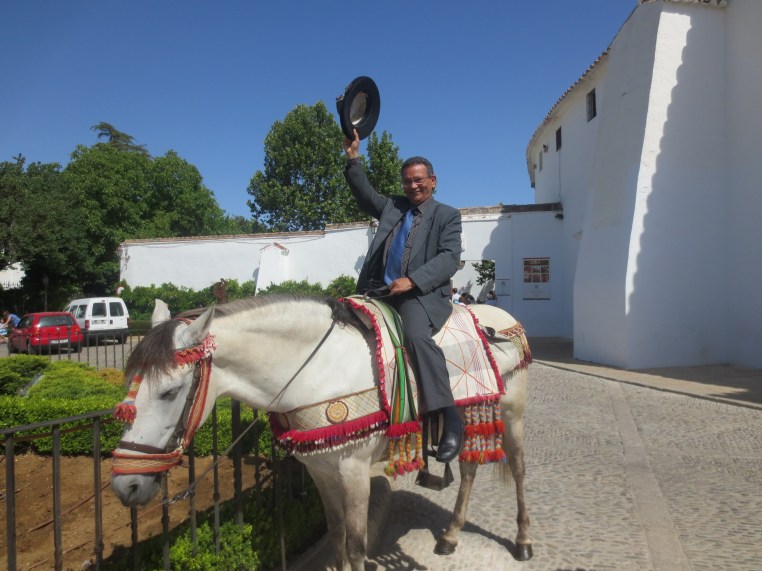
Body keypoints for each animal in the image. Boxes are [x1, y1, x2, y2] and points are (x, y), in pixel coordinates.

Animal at [110, 295, 532, 570]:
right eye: (129, 386)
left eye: (169, 391)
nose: (125, 485)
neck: (318, 371)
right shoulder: (321, 470)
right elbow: (337, 537)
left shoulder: (354, 471)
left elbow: (358, 546)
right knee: (470, 469)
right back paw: (449, 536)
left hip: (512, 415)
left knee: (518, 468)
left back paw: (523, 542)